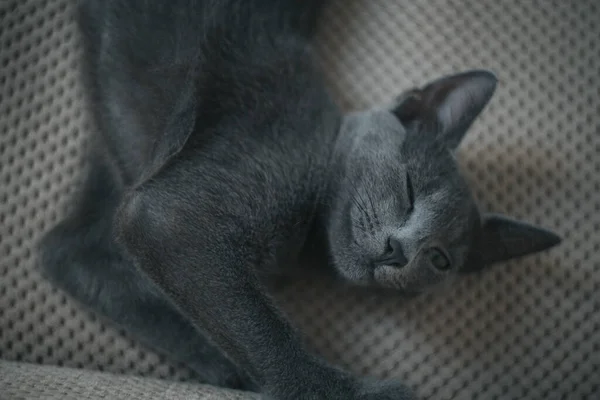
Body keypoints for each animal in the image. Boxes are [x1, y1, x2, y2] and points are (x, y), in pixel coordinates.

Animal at [39, 0, 560, 400]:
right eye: (409, 186)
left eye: (439, 259)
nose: (400, 250)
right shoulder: (201, 202)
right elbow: (262, 329)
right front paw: (350, 392)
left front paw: (228, 367)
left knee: (69, 250)